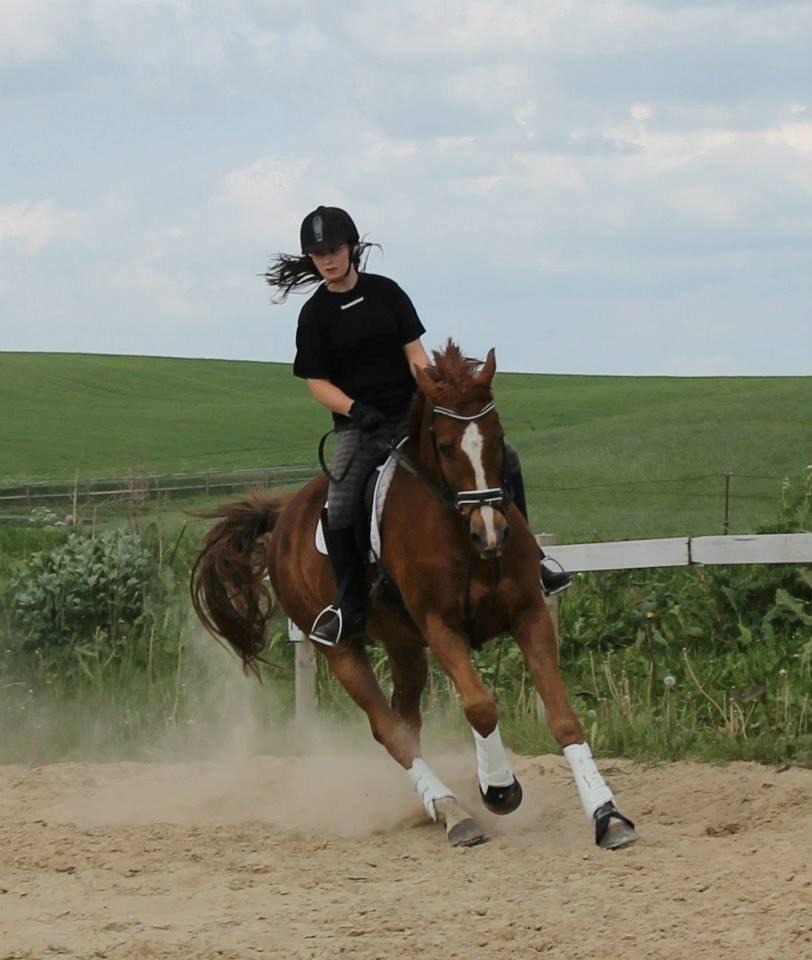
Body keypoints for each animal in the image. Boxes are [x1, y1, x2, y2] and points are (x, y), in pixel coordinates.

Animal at [192, 344, 640, 848]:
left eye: (498, 438)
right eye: (444, 447)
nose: (491, 534)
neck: (462, 538)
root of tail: (284, 510)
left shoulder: (529, 613)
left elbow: (563, 716)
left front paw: (607, 815)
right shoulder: (441, 626)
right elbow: (481, 706)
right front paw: (499, 790)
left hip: (403, 644)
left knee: (406, 718)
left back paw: (437, 808)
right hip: (341, 648)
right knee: (388, 728)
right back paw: (454, 811)